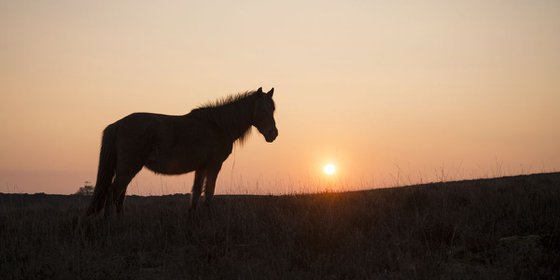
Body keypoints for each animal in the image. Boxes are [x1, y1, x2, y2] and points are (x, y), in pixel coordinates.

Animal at [86, 87, 278, 217]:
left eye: (273, 109)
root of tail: (117, 125)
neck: (218, 125)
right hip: (129, 167)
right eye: (263, 109)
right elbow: (209, 193)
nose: (273, 134)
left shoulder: (201, 168)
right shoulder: (214, 165)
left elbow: (196, 192)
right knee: (113, 192)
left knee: (118, 194)